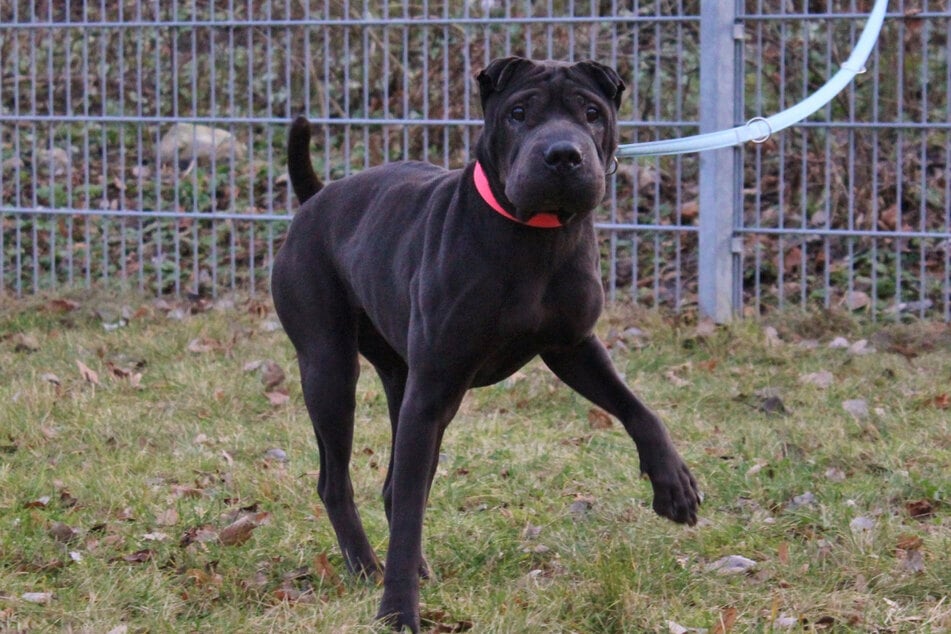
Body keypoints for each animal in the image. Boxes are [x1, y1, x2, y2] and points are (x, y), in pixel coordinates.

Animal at [272, 56, 704, 628]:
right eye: (519, 113)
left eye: (592, 113)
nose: (563, 154)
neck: (537, 236)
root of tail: (316, 196)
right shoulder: (433, 388)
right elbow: (407, 517)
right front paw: (398, 610)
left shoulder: (572, 347)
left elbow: (639, 408)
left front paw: (673, 483)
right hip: (330, 370)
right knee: (337, 480)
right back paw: (366, 566)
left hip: (404, 382)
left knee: (395, 483)